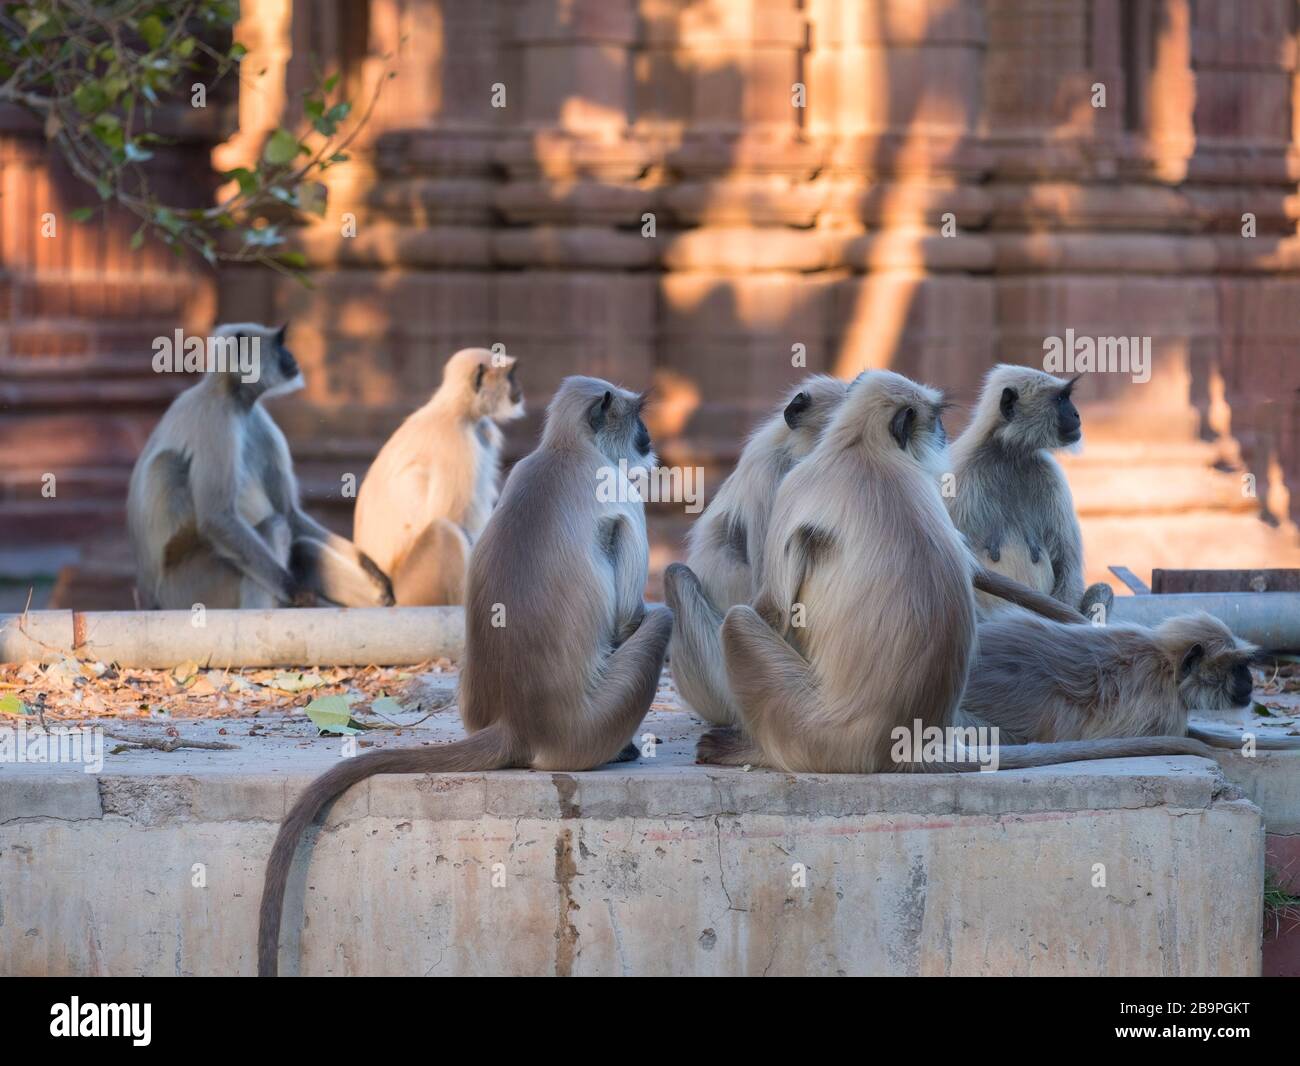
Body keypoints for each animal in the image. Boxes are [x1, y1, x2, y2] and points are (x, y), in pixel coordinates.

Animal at [131, 321, 395, 611]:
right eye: (279, 343)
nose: (291, 355)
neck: (234, 398)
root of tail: (151, 599)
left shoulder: (259, 421)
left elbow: (289, 513)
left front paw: (369, 566)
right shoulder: (215, 419)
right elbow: (217, 517)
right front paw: (295, 590)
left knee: (302, 548)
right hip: (190, 588)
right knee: (271, 526)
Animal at [260, 374, 676, 972]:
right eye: (637, 415)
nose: (648, 439)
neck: (566, 450)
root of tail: (515, 723)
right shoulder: (617, 488)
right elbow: (626, 611)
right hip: (586, 728)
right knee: (661, 614)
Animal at [353, 345, 525, 603]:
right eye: (511, 375)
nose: (519, 389)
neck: (454, 410)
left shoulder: (483, 430)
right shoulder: (458, 442)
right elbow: (449, 516)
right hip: (414, 587)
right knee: (445, 532)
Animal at [702, 371, 1216, 774]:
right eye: (936, 419)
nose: (945, 435)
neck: (863, 448)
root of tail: (901, 749)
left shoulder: (798, 482)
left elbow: (773, 607)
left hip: (806, 726)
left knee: (740, 622)